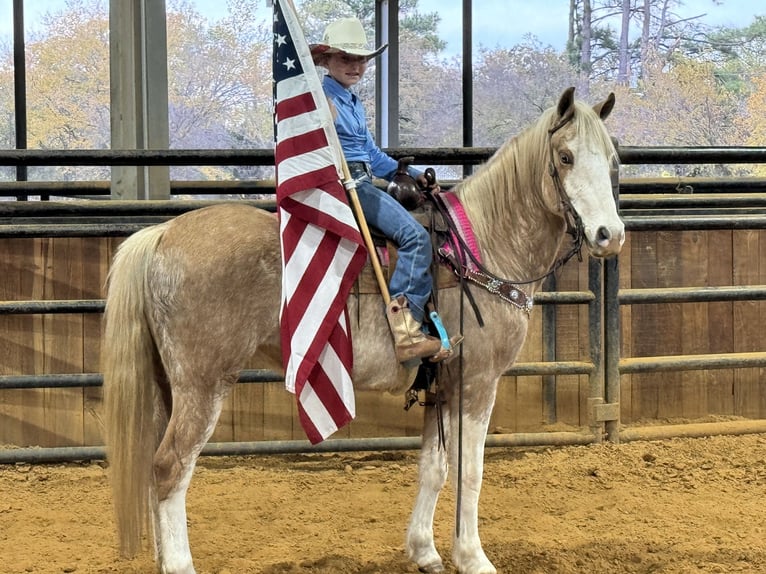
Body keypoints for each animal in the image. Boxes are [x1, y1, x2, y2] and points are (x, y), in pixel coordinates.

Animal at [102, 86, 628, 574]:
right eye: (565, 156)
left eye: (613, 161)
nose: (610, 235)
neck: (479, 247)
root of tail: (163, 234)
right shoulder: (477, 382)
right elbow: (469, 471)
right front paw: (473, 557)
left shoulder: (441, 384)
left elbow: (434, 468)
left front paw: (425, 551)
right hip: (203, 383)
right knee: (171, 467)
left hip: (170, 384)